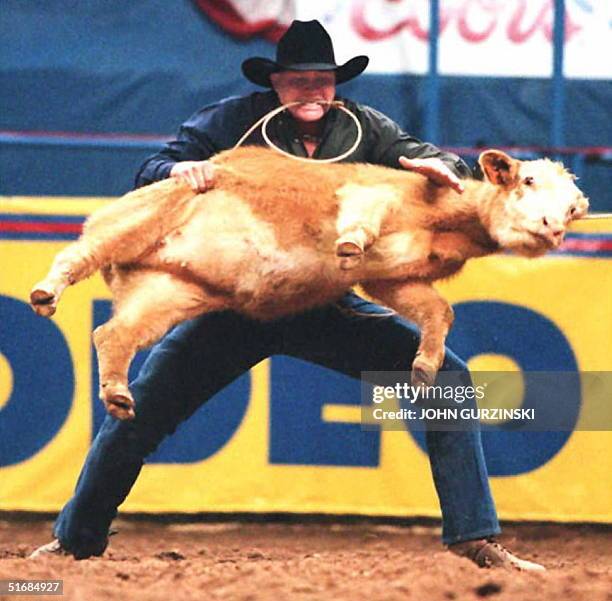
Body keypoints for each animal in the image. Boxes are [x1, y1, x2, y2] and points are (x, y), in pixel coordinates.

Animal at [29, 146, 588, 418]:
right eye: (527, 180)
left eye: (572, 210)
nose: (552, 228)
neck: (441, 220)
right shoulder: (372, 192)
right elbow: (361, 217)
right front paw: (349, 242)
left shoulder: (393, 280)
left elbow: (437, 310)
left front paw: (425, 367)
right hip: (134, 220)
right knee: (75, 254)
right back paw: (45, 293)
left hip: (166, 293)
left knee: (112, 334)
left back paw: (119, 397)